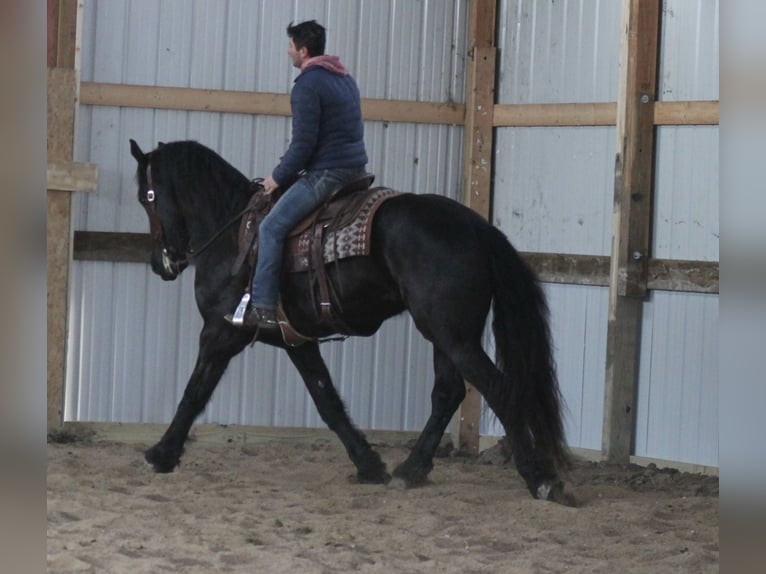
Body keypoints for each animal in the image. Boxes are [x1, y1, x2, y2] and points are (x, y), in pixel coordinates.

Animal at [129, 140, 568, 504]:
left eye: (147, 198)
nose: (160, 263)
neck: (233, 233)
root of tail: (477, 226)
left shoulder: (221, 332)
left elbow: (194, 391)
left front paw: (161, 454)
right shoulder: (296, 341)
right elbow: (328, 401)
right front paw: (368, 464)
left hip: (452, 335)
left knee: (498, 389)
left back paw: (541, 478)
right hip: (447, 336)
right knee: (447, 393)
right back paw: (410, 470)